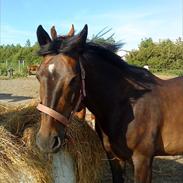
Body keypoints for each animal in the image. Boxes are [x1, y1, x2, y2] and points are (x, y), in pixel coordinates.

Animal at [35, 24, 182, 183]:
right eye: (38, 76)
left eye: (73, 78)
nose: (46, 141)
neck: (126, 107)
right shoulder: (114, 157)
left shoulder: (143, 161)